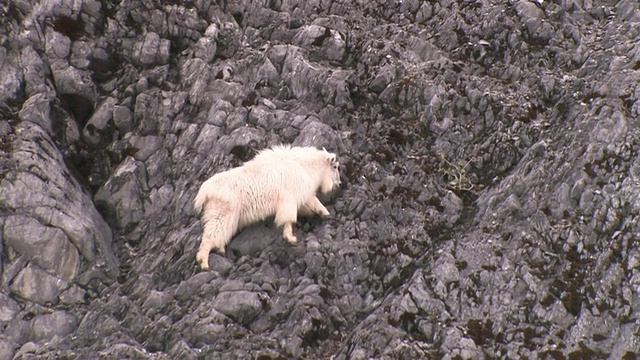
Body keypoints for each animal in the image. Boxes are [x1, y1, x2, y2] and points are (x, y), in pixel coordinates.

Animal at [194, 145, 340, 272]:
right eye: (335, 167)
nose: (338, 183)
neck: (304, 166)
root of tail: (204, 193)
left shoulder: (301, 196)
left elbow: (314, 202)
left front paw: (326, 214)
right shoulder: (289, 198)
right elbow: (289, 218)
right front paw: (291, 238)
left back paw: (220, 250)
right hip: (221, 211)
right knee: (210, 235)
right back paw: (204, 262)